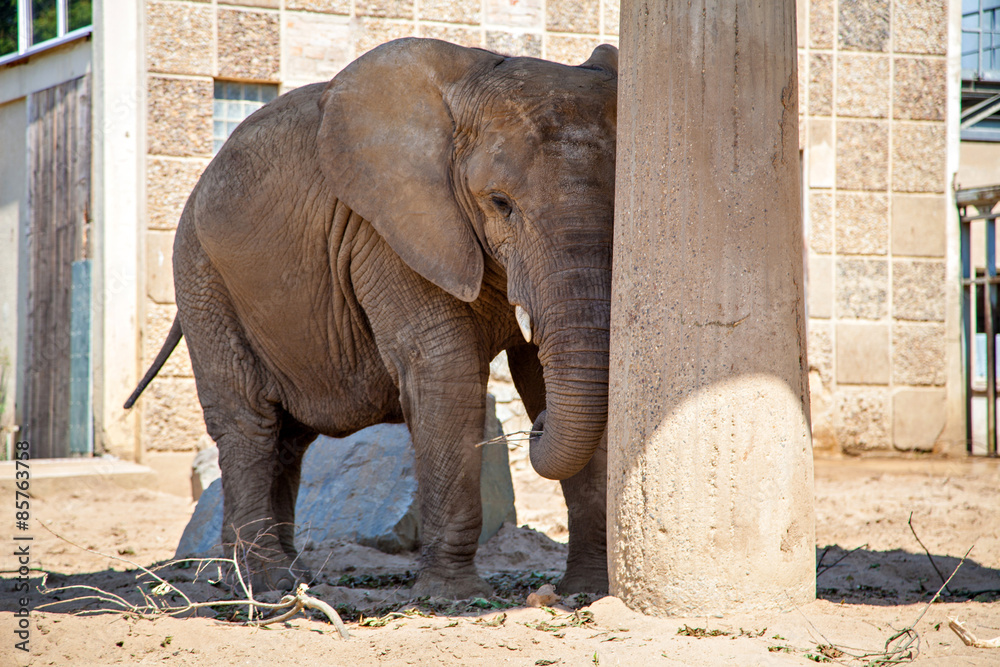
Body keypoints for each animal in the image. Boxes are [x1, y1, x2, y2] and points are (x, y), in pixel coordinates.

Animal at [126, 37, 617, 598]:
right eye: (499, 203)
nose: (533, 430)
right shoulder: (384, 234)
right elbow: (443, 370)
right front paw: (453, 596)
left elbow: (542, 375)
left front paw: (587, 591)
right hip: (202, 276)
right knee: (248, 422)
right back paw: (269, 584)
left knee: (287, 440)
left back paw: (265, 580)